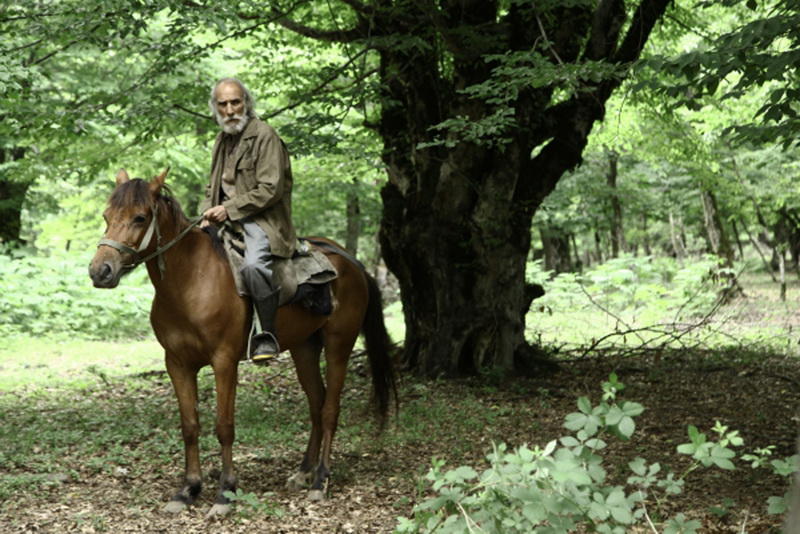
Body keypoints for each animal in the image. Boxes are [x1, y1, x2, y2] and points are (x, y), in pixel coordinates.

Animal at [88, 169, 396, 520]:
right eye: (107, 216)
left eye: (140, 218)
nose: (100, 271)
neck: (191, 280)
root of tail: (353, 263)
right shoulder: (177, 364)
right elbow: (189, 425)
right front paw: (188, 489)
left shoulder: (224, 361)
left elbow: (224, 426)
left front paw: (225, 492)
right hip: (304, 348)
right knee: (316, 404)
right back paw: (303, 471)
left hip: (338, 345)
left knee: (330, 408)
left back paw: (320, 480)